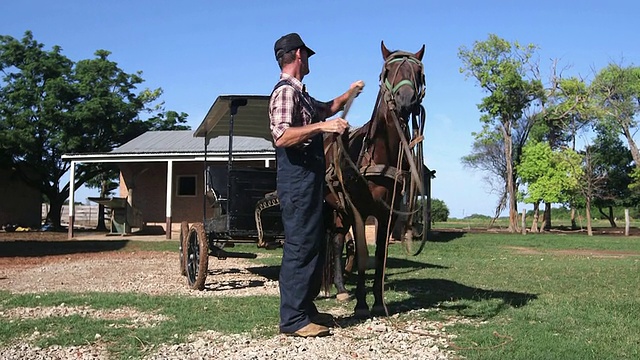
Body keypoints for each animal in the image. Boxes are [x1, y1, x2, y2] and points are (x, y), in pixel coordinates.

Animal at [324, 41, 424, 318]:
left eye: (418, 72)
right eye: (387, 72)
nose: (405, 100)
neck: (379, 153)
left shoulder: (387, 213)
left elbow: (379, 255)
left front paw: (378, 301)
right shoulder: (360, 209)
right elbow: (362, 255)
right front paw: (361, 305)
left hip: (340, 210)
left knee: (336, 241)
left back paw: (340, 288)